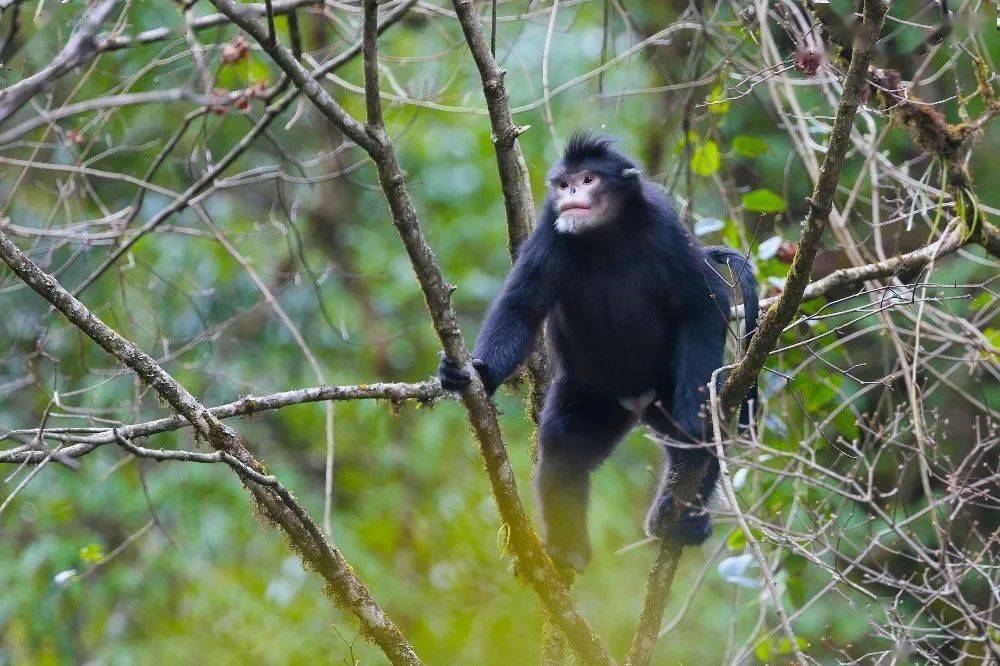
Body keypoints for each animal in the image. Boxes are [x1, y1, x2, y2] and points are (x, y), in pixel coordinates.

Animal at [438, 135, 756, 572]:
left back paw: (678, 520)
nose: (571, 193)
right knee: (564, 442)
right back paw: (571, 551)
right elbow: (520, 308)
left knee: (711, 420)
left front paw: (695, 413)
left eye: (588, 179)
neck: (605, 236)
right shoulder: (551, 232)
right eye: (564, 183)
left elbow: (704, 305)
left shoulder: (665, 229)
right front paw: (478, 374)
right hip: (595, 393)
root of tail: (637, 399)